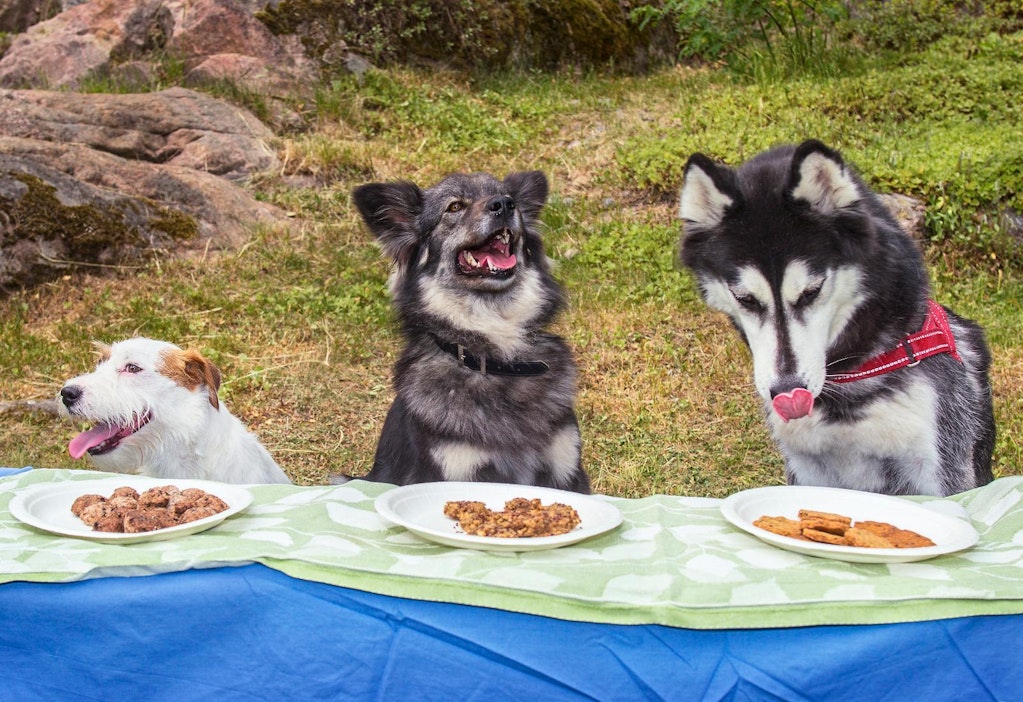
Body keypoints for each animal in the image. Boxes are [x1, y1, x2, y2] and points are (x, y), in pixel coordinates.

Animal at [675, 140, 994, 497]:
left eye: (811, 291)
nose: (787, 391)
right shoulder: (807, 469)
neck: (848, 379)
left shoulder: (940, 469)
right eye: (745, 299)